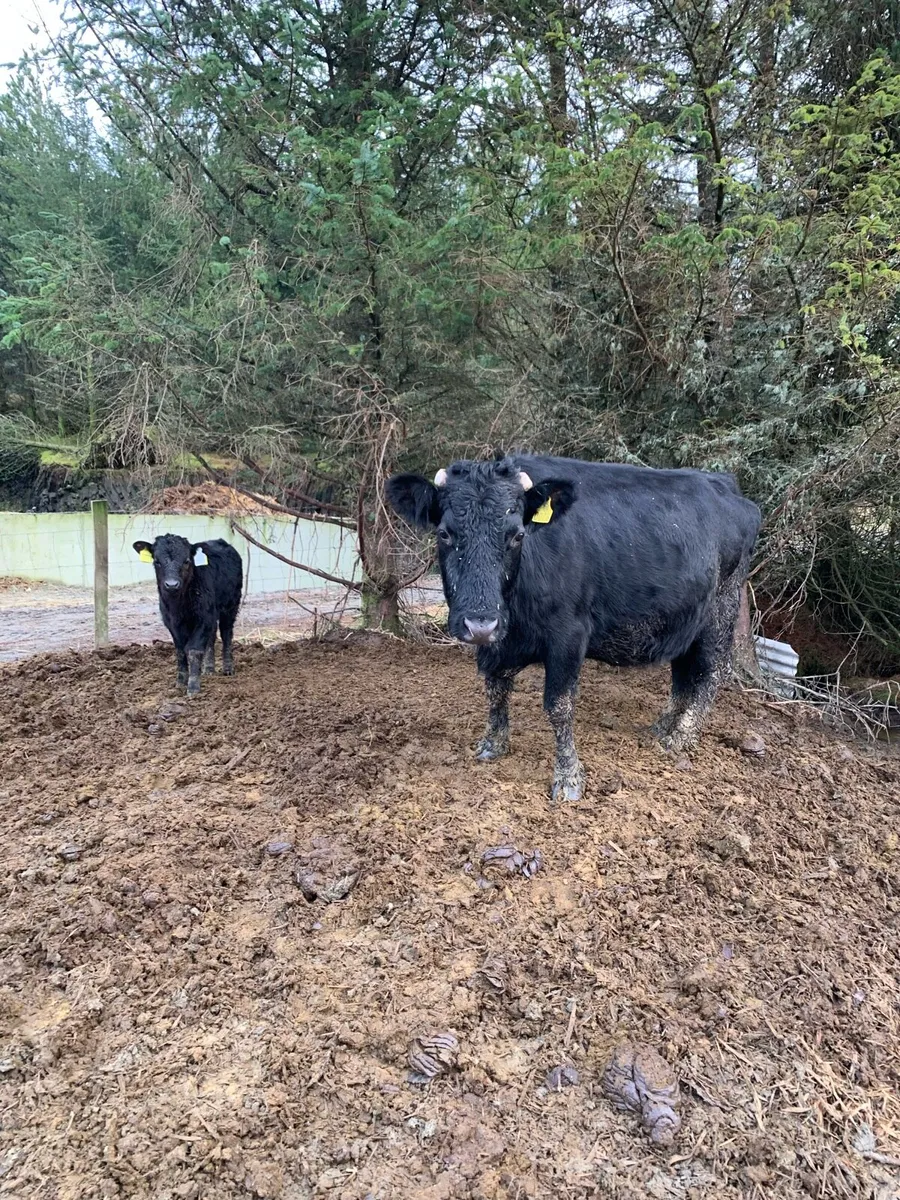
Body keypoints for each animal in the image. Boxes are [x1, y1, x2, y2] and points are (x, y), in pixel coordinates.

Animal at [133, 534, 243, 697]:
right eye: (156, 561)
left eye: (186, 561)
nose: (172, 585)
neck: (178, 606)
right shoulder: (172, 623)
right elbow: (180, 651)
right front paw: (180, 682)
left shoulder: (203, 618)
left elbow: (193, 650)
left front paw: (193, 687)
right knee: (212, 636)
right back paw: (208, 669)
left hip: (230, 606)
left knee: (226, 634)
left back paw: (228, 668)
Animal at [386, 454, 761, 802]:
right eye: (444, 533)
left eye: (517, 535)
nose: (480, 622)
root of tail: (726, 485)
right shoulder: (496, 641)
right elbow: (495, 689)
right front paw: (492, 744)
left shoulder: (569, 636)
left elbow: (559, 706)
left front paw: (568, 778)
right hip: (685, 619)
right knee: (684, 673)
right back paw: (662, 727)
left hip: (721, 611)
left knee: (711, 673)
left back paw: (680, 738)